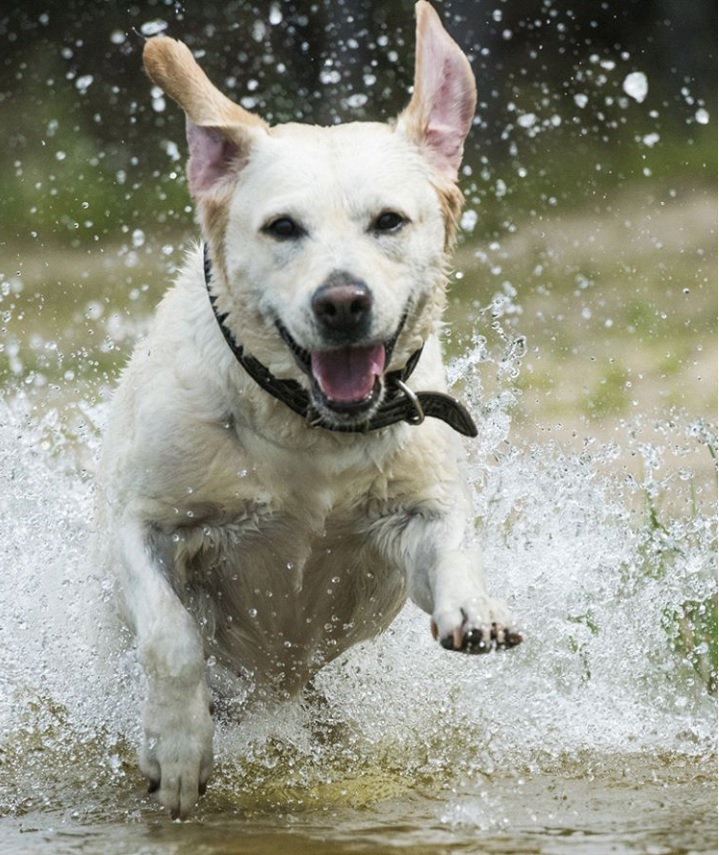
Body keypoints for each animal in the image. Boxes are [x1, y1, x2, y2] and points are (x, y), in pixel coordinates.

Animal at [97, 3, 524, 820]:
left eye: (389, 221)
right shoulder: (144, 524)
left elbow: (451, 544)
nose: (342, 301)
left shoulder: (412, 516)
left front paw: (475, 607)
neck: (308, 428)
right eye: (282, 227)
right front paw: (177, 746)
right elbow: (171, 633)